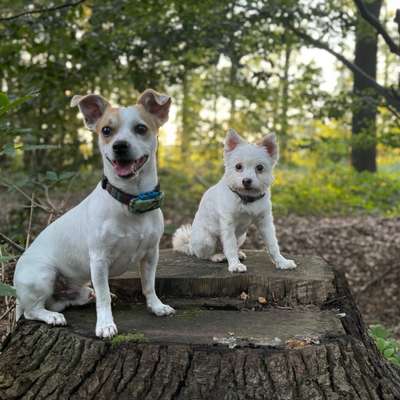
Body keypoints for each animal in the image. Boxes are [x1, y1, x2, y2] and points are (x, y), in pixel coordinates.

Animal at [14, 88, 174, 338]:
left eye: (141, 128)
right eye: (106, 130)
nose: (120, 145)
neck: (130, 199)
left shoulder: (150, 255)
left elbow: (148, 284)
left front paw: (156, 306)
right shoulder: (99, 261)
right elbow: (104, 296)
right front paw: (105, 325)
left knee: (68, 299)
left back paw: (83, 296)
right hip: (43, 275)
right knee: (33, 311)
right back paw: (52, 317)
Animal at [173, 130, 296, 274]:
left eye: (260, 168)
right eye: (238, 166)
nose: (246, 180)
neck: (246, 198)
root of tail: (190, 245)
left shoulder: (265, 222)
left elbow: (272, 244)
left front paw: (282, 262)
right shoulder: (228, 224)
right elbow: (230, 246)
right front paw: (235, 265)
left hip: (241, 236)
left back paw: (238, 254)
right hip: (207, 239)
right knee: (204, 255)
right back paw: (217, 256)